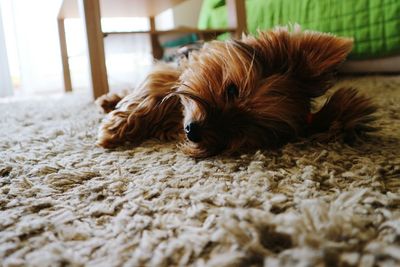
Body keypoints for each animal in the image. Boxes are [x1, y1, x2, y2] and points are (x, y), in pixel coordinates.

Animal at [95, 27, 376, 158]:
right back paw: (108, 100)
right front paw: (114, 130)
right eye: (231, 89)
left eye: (243, 130)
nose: (192, 131)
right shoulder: (169, 73)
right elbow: (147, 95)